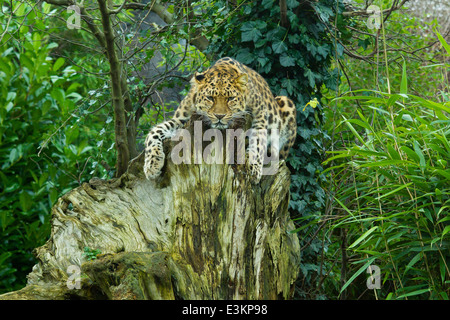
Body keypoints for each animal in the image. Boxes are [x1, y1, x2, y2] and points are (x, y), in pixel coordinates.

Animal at [144, 56, 298, 184]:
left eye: (230, 98)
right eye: (210, 98)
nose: (219, 116)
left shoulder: (260, 113)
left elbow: (259, 140)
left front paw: (254, 169)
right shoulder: (181, 119)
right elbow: (155, 132)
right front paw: (152, 165)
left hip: (286, 103)